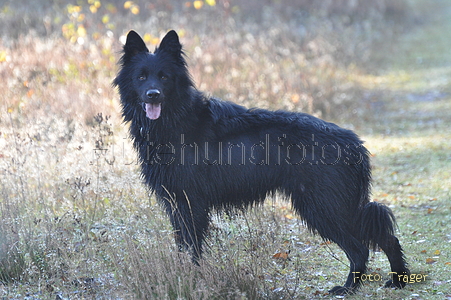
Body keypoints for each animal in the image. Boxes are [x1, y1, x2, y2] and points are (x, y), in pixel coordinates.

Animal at [114, 30, 410, 296]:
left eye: (164, 76)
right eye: (141, 77)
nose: (153, 94)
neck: (175, 122)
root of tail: (354, 143)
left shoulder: (191, 204)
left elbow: (192, 248)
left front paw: (192, 280)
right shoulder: (176, 203)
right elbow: (182, 247)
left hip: (324, 207)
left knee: (360, 248)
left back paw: (349, 288)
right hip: (335, 206)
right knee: (387, 236)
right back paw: (398, 280)